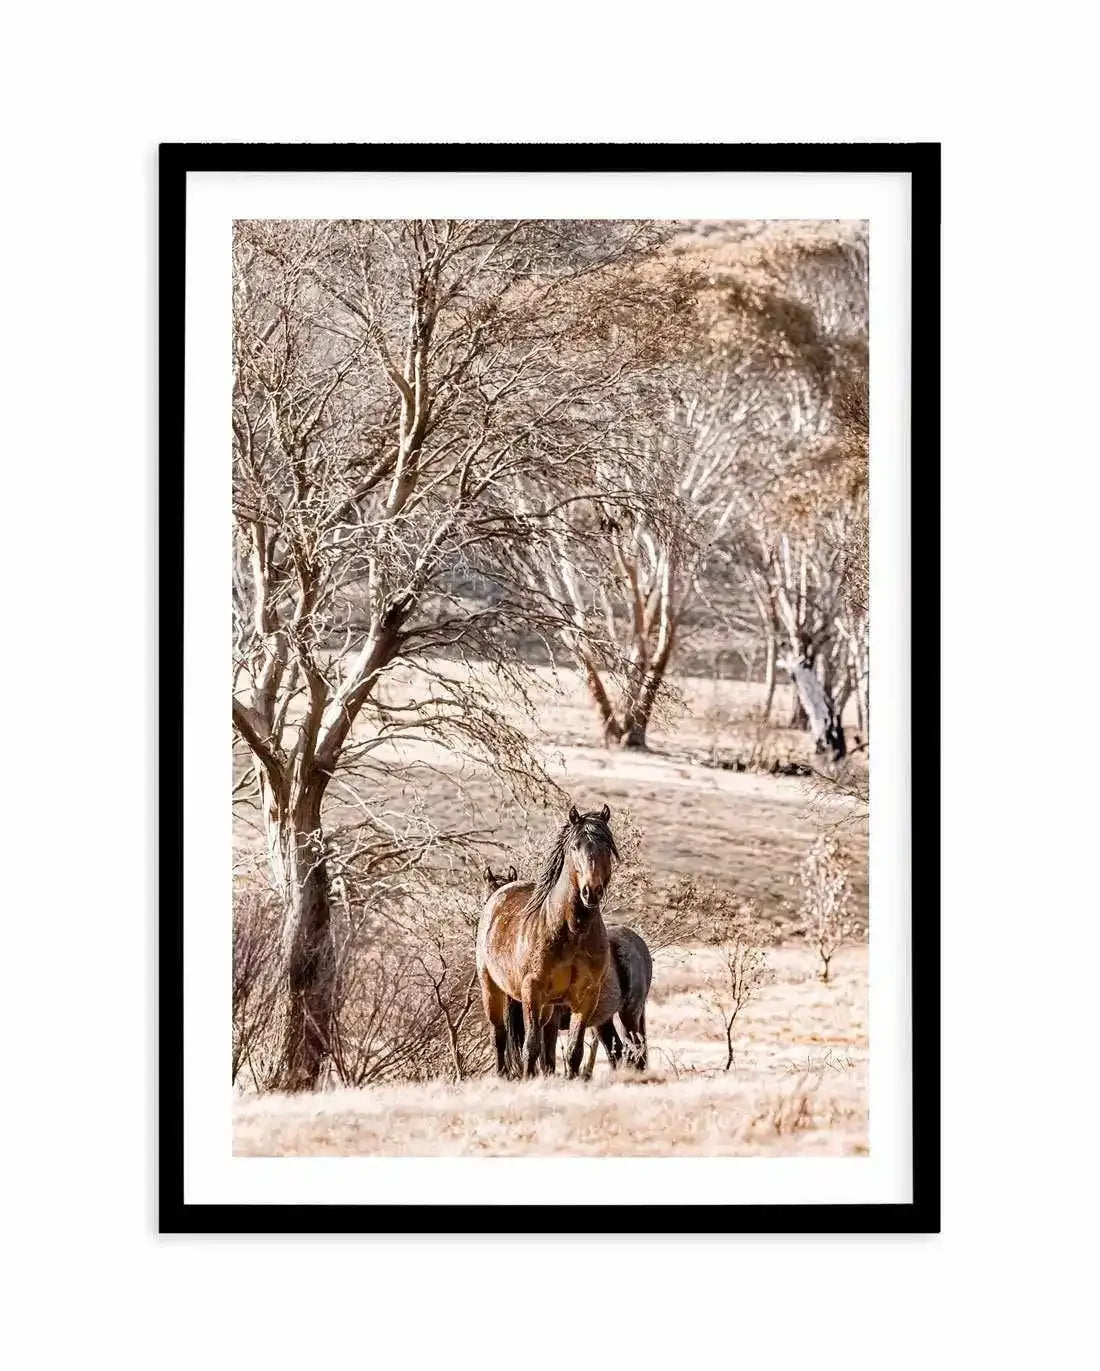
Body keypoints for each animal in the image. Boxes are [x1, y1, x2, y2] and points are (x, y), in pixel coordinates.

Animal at [476, 804, 618, 1079]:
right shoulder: (532, 991)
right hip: (493, 989)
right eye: (575, 846)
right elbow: (530, 1047)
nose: (591, 892)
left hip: (549, 1007)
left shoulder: (586, 996)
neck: (572, 930)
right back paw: (502, 1075)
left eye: (607, 846)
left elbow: (573, 1051)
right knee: (499, 1035)